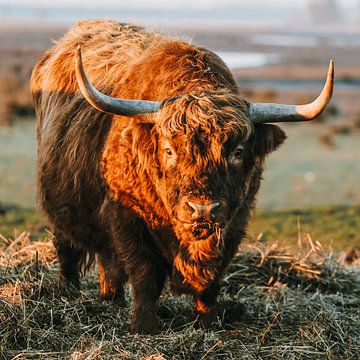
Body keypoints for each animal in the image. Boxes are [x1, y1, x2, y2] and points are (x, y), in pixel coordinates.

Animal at [31, 20, 334, 334]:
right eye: (168, 150)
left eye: (237, 152)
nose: (203, 209)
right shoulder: (127, 217)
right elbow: (145, 275)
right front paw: (144, 327)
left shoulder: (235, 223)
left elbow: (211, 283)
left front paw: (206, 323)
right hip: (59, 206)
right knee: (69, 251)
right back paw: (69, 294)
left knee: (108, 262)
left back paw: (110, 299)